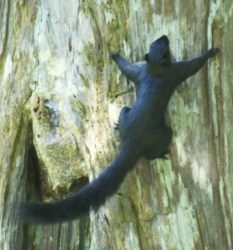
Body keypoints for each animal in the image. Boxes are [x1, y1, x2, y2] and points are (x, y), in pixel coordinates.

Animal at [17, 35, 219, 225]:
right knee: (155, 149)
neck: (154, 70)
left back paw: (116, 126)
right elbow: (193, 66)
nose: (164, 36)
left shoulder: (139, 71)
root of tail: (131, 143)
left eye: (157, 43)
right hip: (161, 134)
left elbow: (127, 68)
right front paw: (211, 52)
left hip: (124, 111)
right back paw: (160, 153)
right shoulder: (175, 72)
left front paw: (113, 55)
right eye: (164, 47)